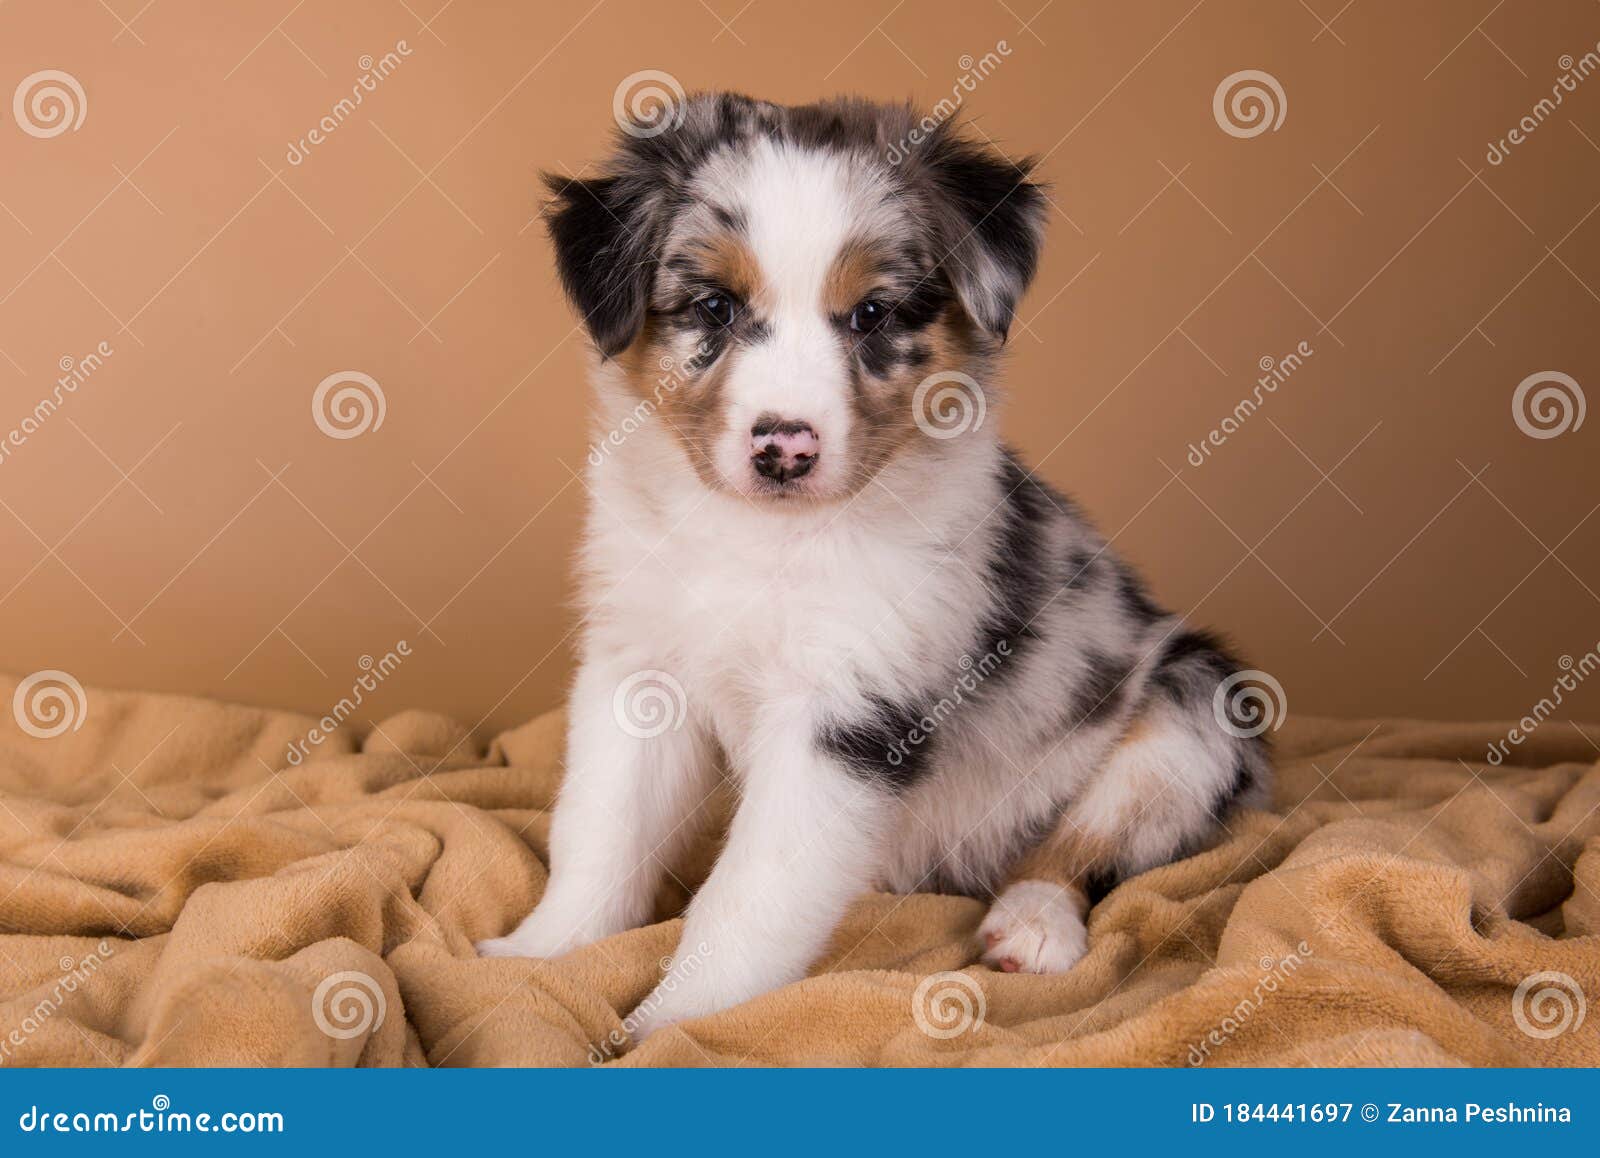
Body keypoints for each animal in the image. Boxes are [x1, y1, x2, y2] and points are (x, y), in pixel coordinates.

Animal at [476, 95, 1273, 1042]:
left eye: (871, 316)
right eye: (714, 306)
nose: (784, 448)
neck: (763, 537)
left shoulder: (845, 713)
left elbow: (747, 896)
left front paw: (677, 1023)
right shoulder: (638, 669)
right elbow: (599, 830)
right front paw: (539, 958)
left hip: (1195, 711)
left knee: (1082, 847)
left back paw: (1032, 925)